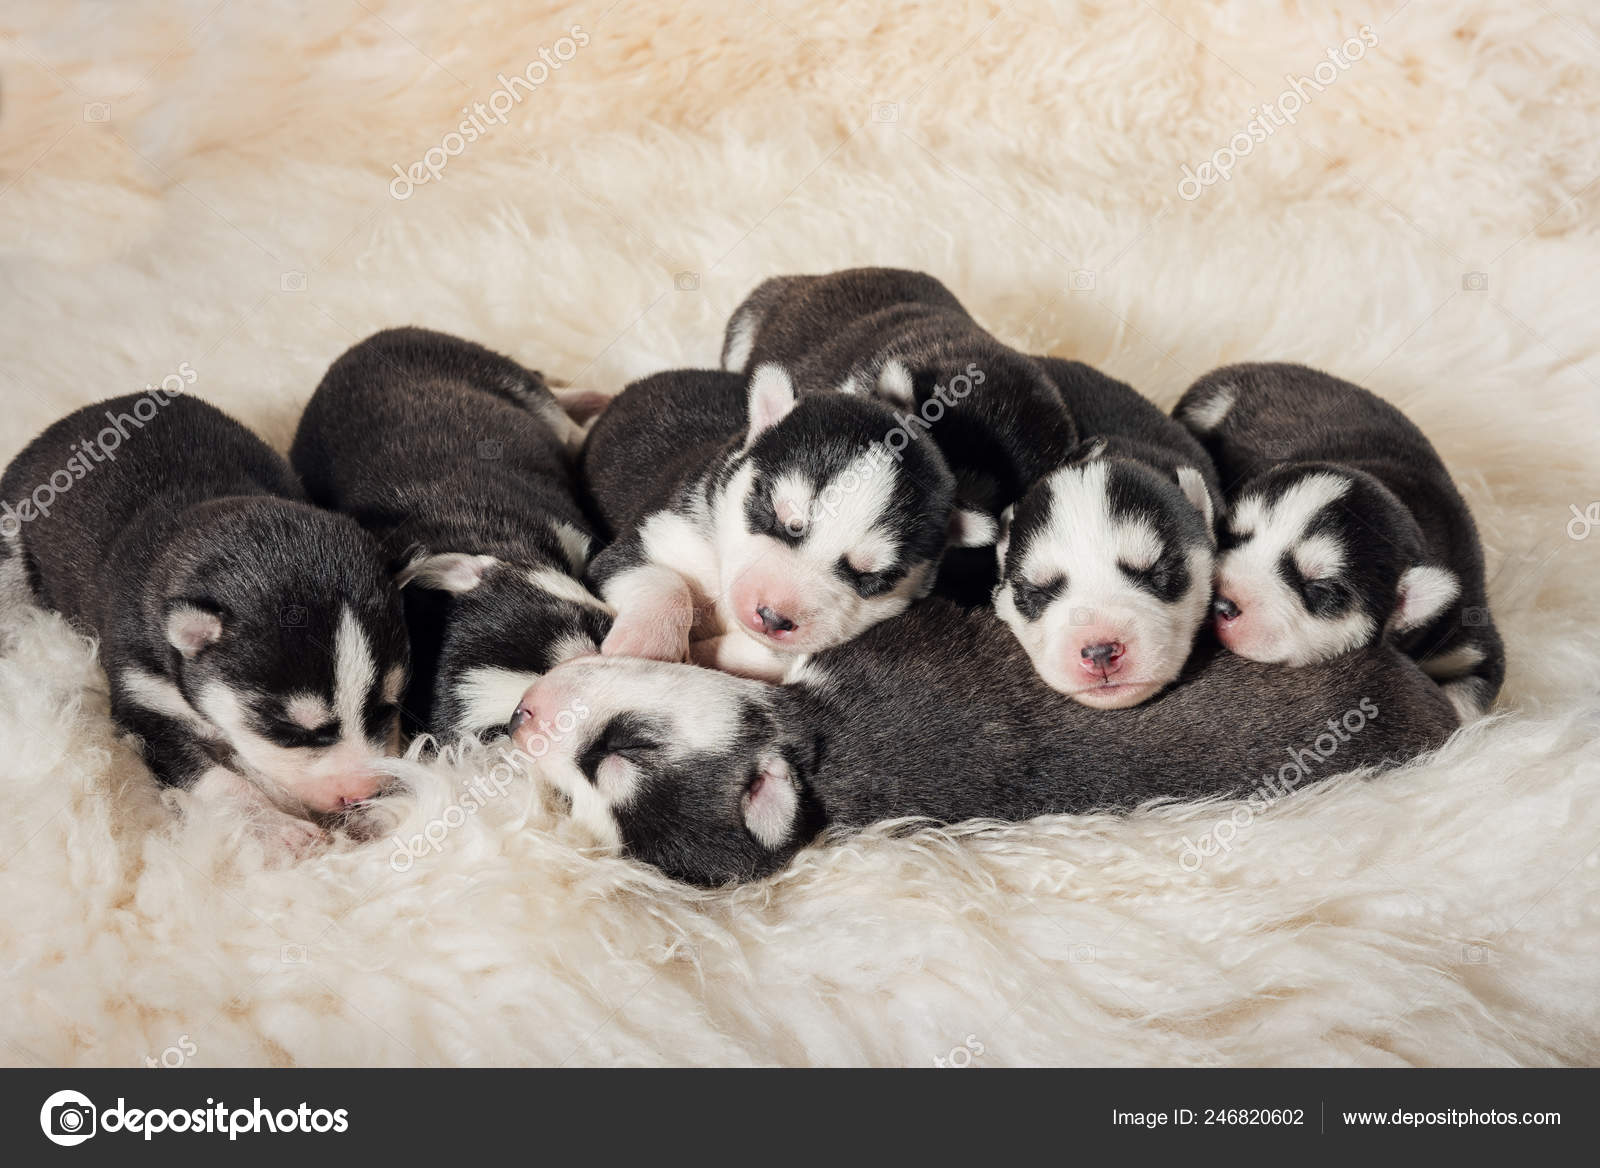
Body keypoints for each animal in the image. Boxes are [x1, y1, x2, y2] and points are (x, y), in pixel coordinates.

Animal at [291, 323, 608, 736]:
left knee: (559, 415)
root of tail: (356, 348)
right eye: (512, 725)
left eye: (598, 630)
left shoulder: (571, 534)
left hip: (499, 375)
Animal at [582, 366, 953, 681]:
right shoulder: (650, 537)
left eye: (872, 578)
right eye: (781, 518)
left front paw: (701, 652)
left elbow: (773, 655)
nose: (773, 618)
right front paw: (646, 647)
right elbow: (664, 582)